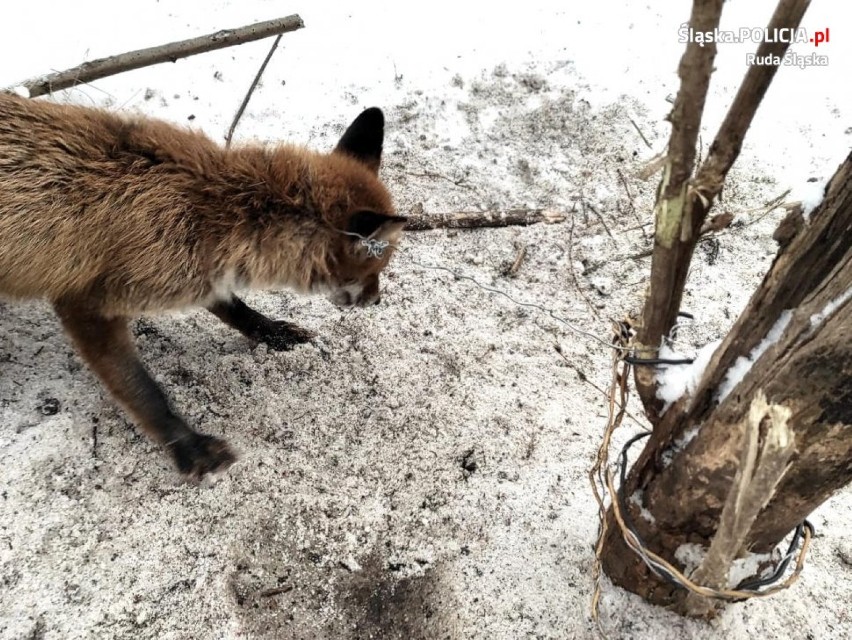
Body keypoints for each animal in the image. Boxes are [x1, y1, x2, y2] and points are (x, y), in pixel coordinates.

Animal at [0, 92, 406, 478]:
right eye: (375, 266)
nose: (377, 300)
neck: (212, 209)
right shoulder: (84, 304)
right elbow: (145, 392)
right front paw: (191, 448)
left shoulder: (202, 274)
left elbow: (237, 309)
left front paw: (274, 334)